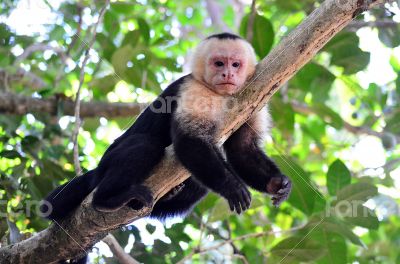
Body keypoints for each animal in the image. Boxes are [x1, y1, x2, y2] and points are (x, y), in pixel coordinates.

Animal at [41, 32, 290, 224]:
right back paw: (107, 200)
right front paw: (231, 187)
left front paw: (277, 183)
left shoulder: (252, 99)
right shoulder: (194, 90)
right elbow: (189, 140)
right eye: (219, 63)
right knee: (145, 145)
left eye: (236, 64)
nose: (227, 74)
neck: (219, 94)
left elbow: (242, 150)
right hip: (106, 165)